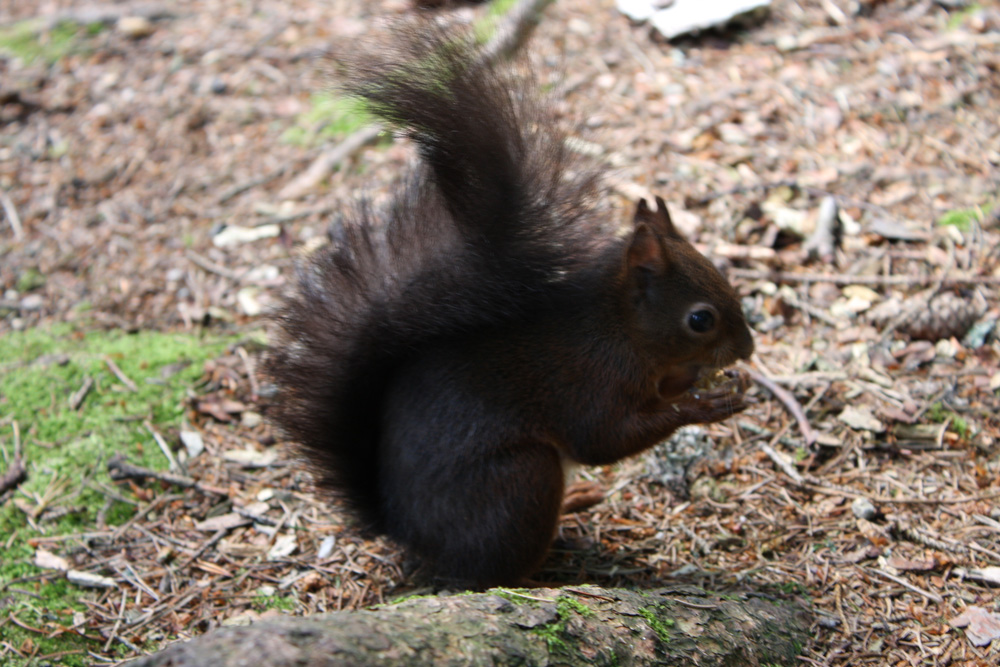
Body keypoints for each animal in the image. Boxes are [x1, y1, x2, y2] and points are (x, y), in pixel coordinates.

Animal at [262, 27, 752, 588]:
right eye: (701, 319)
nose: (747, 348)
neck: (619, 330)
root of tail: (404, 531)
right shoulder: (588, 381)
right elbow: (603, 440)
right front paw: (704, 405)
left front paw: (701, 382)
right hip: (521, 479)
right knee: (495, 571)